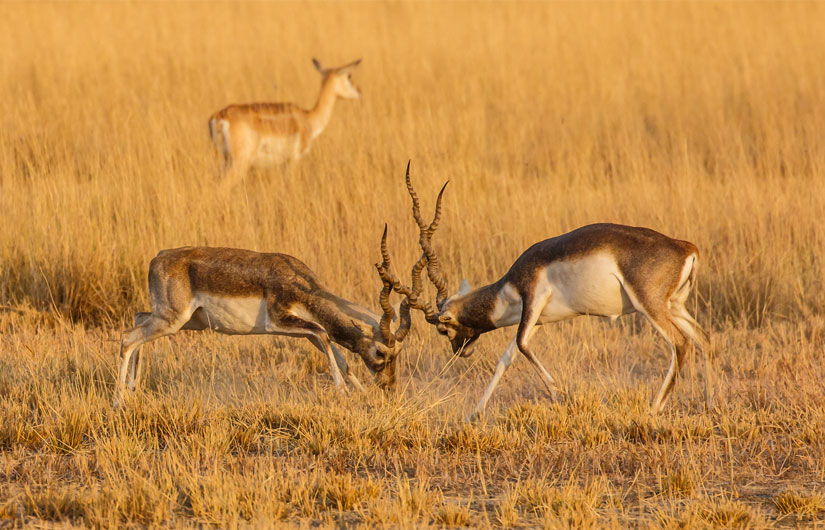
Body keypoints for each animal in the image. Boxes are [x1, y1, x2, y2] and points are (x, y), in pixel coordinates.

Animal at [113, 242, 418, 404]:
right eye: (381, 352)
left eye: (399, 354)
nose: (389, 386)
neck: (302, 284)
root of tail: (159, 256)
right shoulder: (279, 321)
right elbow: (324, 334)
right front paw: (343, 392)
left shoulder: (304, 331)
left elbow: (336, 352)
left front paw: (362, 393)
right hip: (172, 320)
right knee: (127, 338)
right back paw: (118, 401)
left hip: (185, 321)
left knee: (138, 320)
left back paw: (132, 390)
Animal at [206, 57, 360, 186]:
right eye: (349, 76)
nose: (359, 91)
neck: (308, 118)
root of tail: (220, 115)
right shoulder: (293, 159)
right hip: (239, 163)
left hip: (225, 160)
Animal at [384, 163, 712, 418]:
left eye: (442, 329)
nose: (460, 351)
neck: (508, 287)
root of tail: (686, 248)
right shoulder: (537, 318)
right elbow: (505, 359)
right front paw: (473, 415)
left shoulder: (532, 299)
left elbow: (521, 345)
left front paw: (561, 395)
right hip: (674, 306)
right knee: (704, 339)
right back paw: (709, 403)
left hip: (650, 306)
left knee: (680, 343)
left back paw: (655, 408)